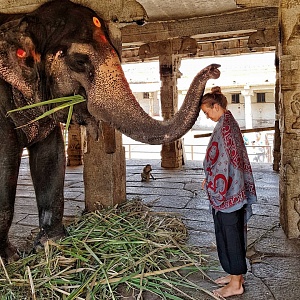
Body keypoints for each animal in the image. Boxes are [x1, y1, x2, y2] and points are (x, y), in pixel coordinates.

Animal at [0, 0, 220, 262]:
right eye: (80, 61)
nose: (215, 70)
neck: (23, 19)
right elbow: (5, 163)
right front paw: (10, 259)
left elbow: (50, 156)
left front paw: (53, 246)